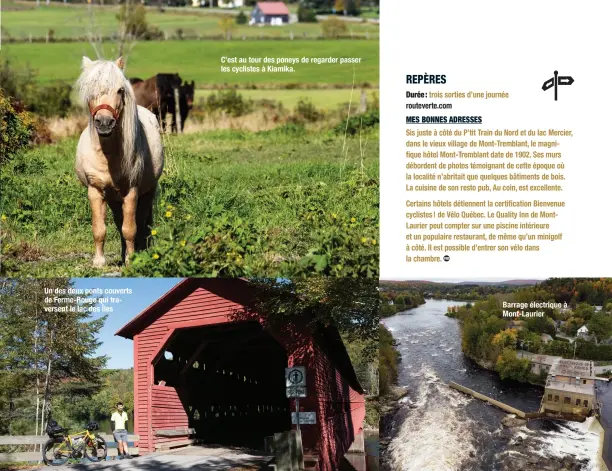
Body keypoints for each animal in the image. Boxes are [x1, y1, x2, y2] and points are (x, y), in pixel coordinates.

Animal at [74, 56, 165, 266]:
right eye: (91, 90)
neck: (108, 155)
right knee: (119, 221)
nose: (104, 123)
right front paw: (99, 262)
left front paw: (132, 260)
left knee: (141, 222)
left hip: (147, 191)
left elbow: (130, 229)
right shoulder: (95, 191)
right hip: (113, 198)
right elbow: (100, 229)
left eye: (120, 90)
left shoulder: (132, 191)